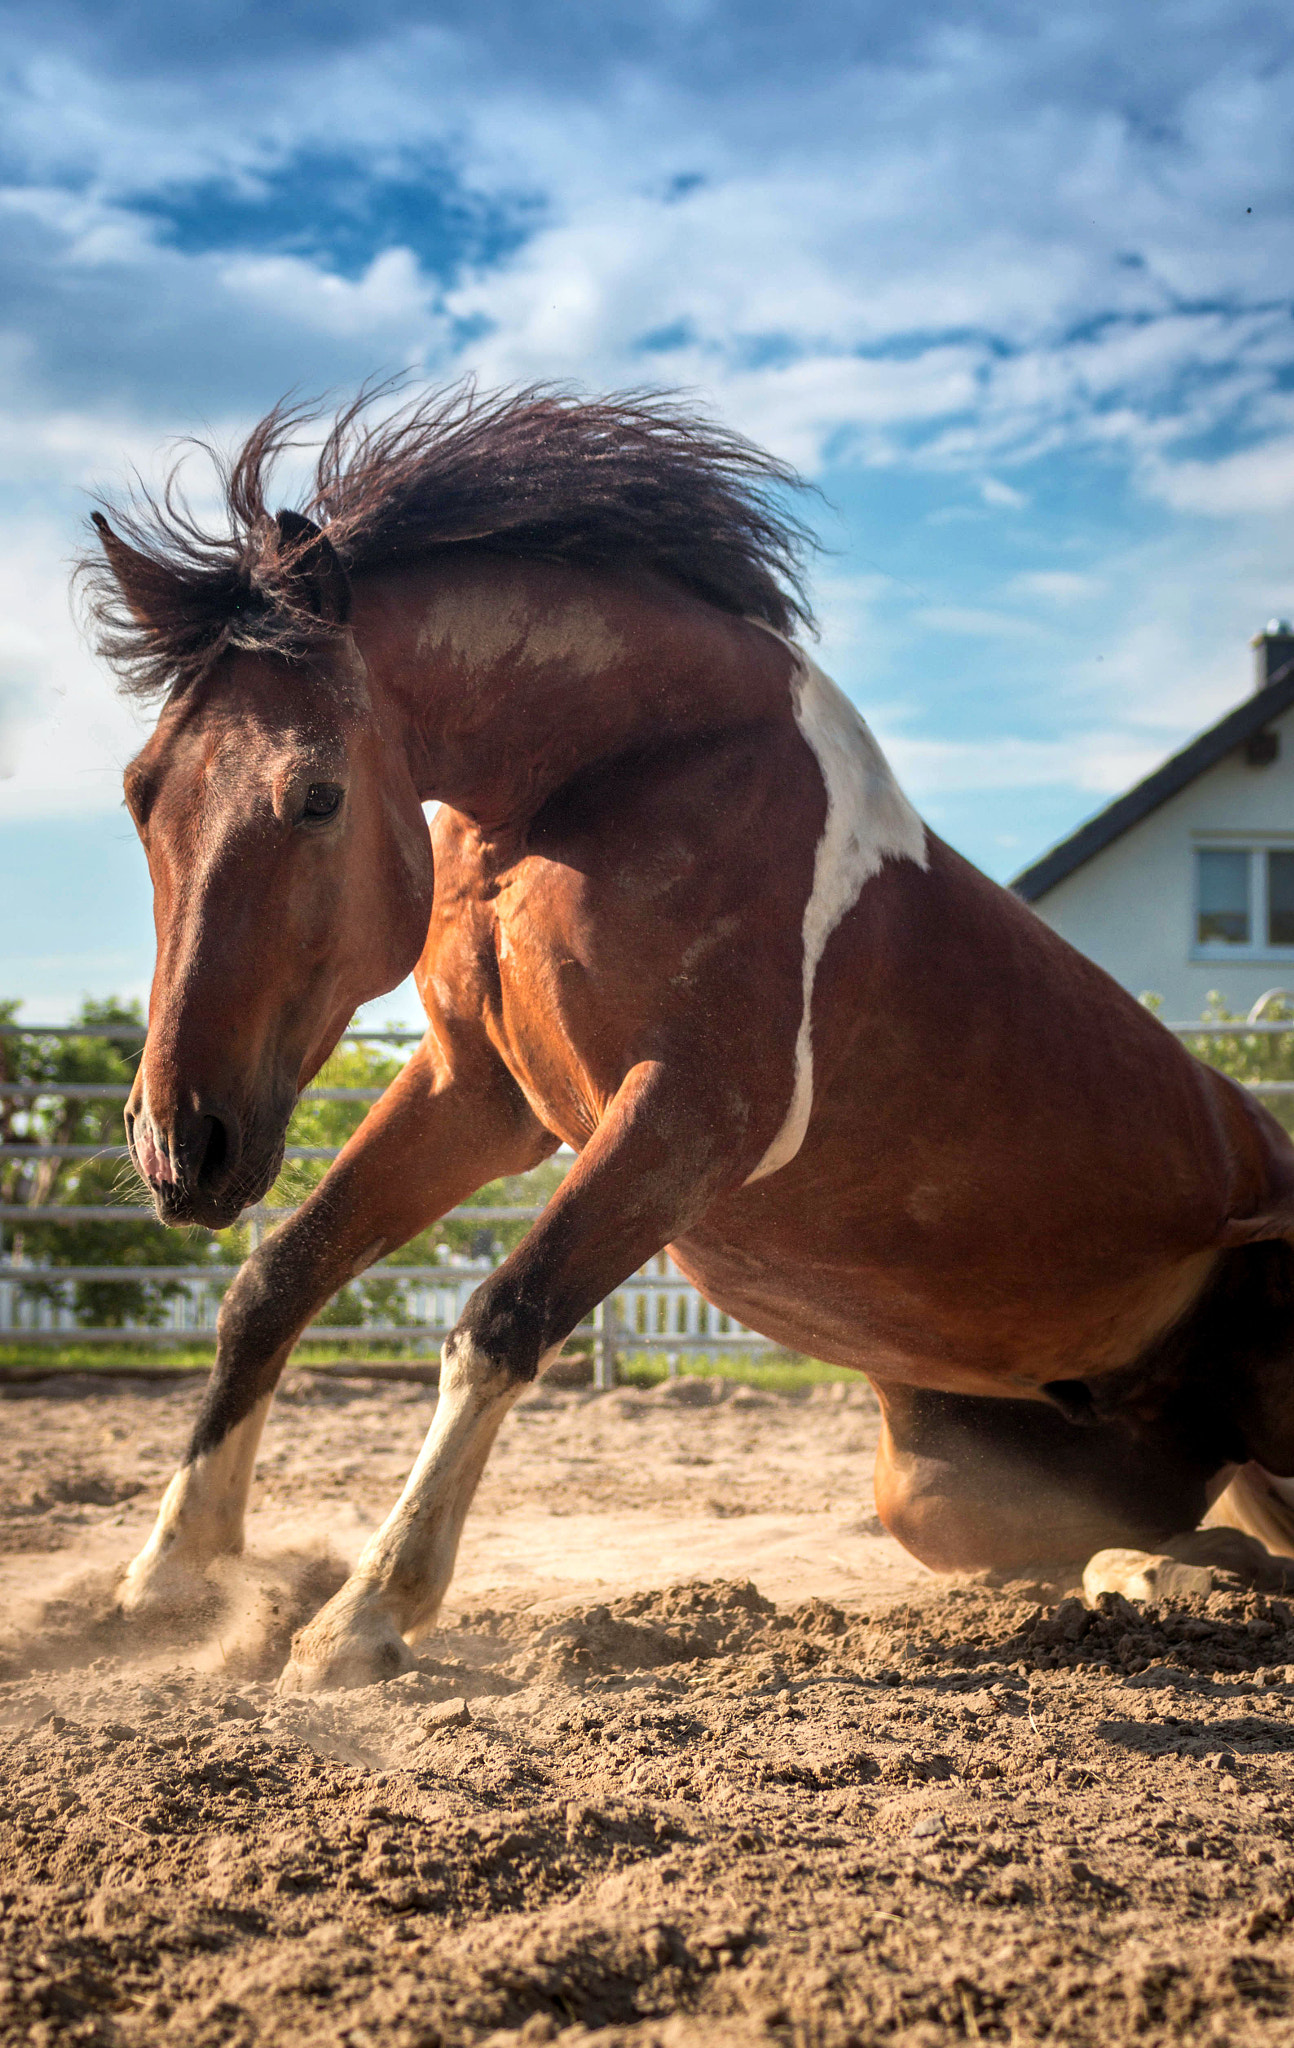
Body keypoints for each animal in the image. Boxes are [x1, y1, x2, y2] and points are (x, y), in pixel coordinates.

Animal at [78, 387, 1294, 1695]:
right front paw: (167, 1581)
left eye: (315, 795)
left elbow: (499, 1321)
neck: (620, 777)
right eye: (141, 790)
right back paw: (1137, 1577)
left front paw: (363, 1614)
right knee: (1198, 1536)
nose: (178, 1148)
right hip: (949, 1489)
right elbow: (275, 1280)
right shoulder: (479, 1094)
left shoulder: (692, 1115)